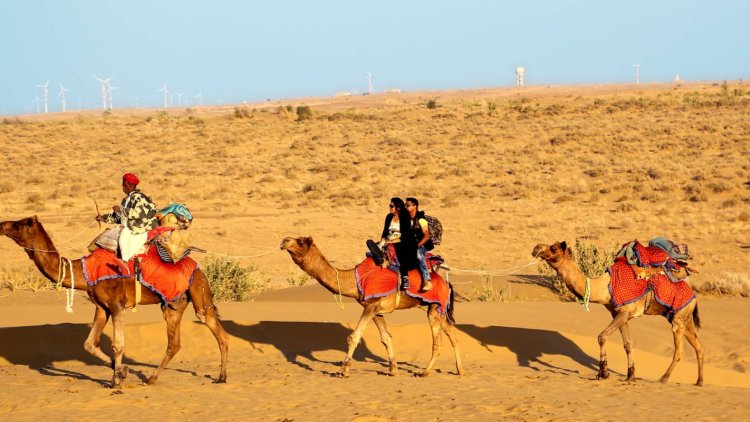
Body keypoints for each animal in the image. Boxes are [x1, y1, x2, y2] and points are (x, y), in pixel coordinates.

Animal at [0, 216, 229, 388]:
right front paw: (120, 371)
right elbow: (89, 343)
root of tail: (200, 269)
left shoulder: (117, 304)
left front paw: (116, 381)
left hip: (198, 291)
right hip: (173, 304)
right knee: (175, 343)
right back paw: (152, 379)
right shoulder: (102, 307)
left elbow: (118, 345)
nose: (2, 224)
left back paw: (220, 377)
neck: (84, 271)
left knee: (216, 329)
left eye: (19, 224)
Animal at [280, 236, 464, 378]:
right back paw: (460, 370)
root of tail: (447, 284)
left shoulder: (370, 306)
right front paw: (393, 370)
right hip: (437, 308)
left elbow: (354, 336)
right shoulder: (376, 311)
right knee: (453, 335)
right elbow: (386, 337)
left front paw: (343, 371)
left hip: (434, 308)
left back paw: (424, 372)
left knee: (438, 341)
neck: (355, 281)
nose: (284, 241)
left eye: (301, 241)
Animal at [536, 241, 704, 386]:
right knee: (699, 347)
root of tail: (694, 297)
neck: (605, 287)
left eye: (553, 248)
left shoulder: (624, 311)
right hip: (685, 318)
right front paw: (630, 375)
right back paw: (699, 381)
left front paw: (603, 372)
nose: (536, 248)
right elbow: (628, 344)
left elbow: (602, 337)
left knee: (679, 350)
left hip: (679, 317)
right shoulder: (619, 314)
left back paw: (663, 378)